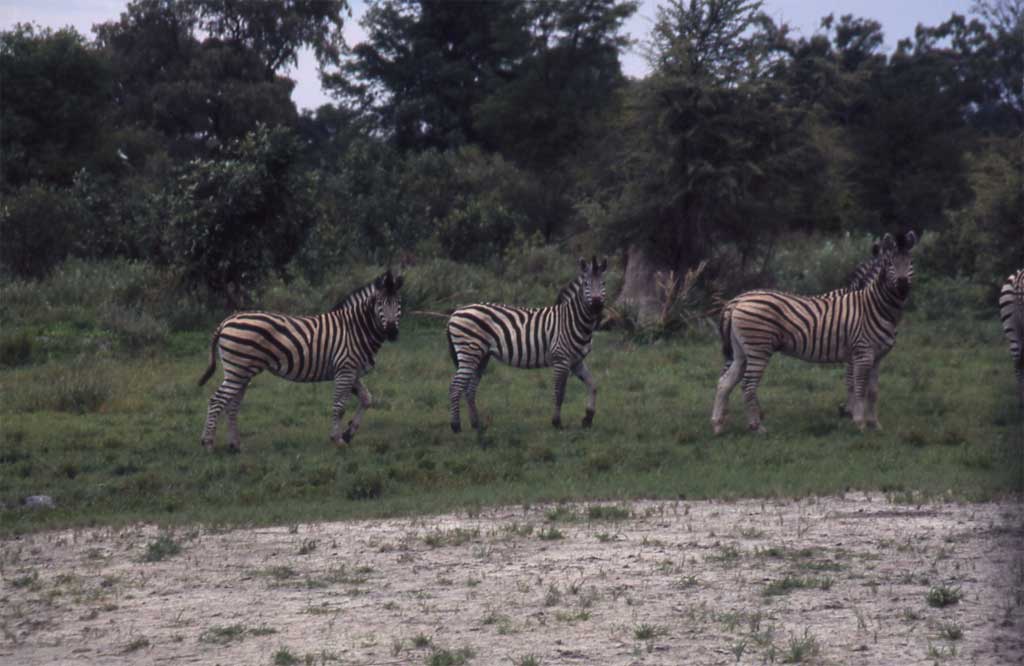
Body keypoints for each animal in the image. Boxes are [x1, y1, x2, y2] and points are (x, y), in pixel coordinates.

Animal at [195, 266, 403, 448]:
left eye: (399, 304)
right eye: (380, 303)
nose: (393, 332)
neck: (355, 329)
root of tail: (226, 321)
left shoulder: (353, 372)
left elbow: (367, 399)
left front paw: (348, 433)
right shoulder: (345, 370)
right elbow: (339, 406)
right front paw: (337, 439)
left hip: (242, 372)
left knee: (231, 405)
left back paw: (235, 445)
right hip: (238, 370)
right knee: (217, 401)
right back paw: (208, 443)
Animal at [444, 254, 602, 430]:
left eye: (603, 284)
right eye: (586, 284)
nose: (597, 305)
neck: (571, 320)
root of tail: (456, 312)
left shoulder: (576, 361)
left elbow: (593, 385)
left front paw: (588, 418)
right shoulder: (561, 359)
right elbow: (559, 392)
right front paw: (557, 423)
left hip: (481, 356)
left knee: (470, 388)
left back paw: (476, 424)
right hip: (469, 351)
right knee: (455, 387)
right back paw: (456, 426)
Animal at [712, 230, 921, 432]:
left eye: (911, 263)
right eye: (890, 264)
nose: (903, 286)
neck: (874, 306)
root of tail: (737, 300)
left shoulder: (877, 357)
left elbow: (873, 391)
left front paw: (874, 424)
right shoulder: (861, 353)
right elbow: (857, 386)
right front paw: (858, 422)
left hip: (741, 351)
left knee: (725, 381)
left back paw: (718, 424)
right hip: (758, 348)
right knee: (747, 385)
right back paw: (756, 426)